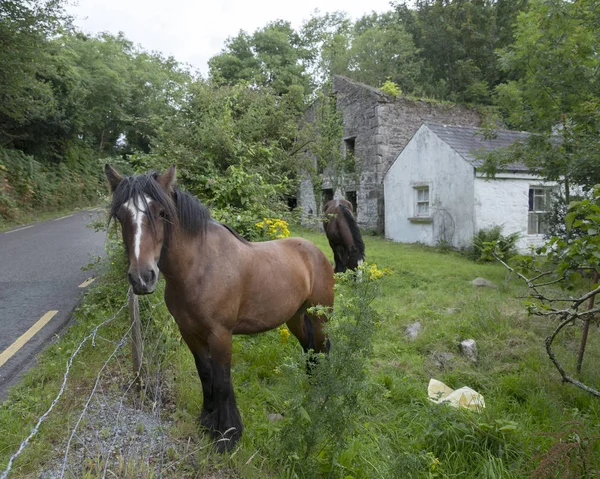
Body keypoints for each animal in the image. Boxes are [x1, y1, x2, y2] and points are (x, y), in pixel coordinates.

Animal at [105, 166, 336, 454]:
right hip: (295, 318)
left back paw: (320, 394)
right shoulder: (189, 333)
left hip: (320, 316)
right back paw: (310, 386)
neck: (199, 268)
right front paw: (207, 421)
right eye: (121, 215)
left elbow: (223, 381)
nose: (142, 278)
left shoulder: (220, 334)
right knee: (309, 348)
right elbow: (206, 375)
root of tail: (316, 251)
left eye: (161, 212)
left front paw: (228, 435)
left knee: (323, 348)